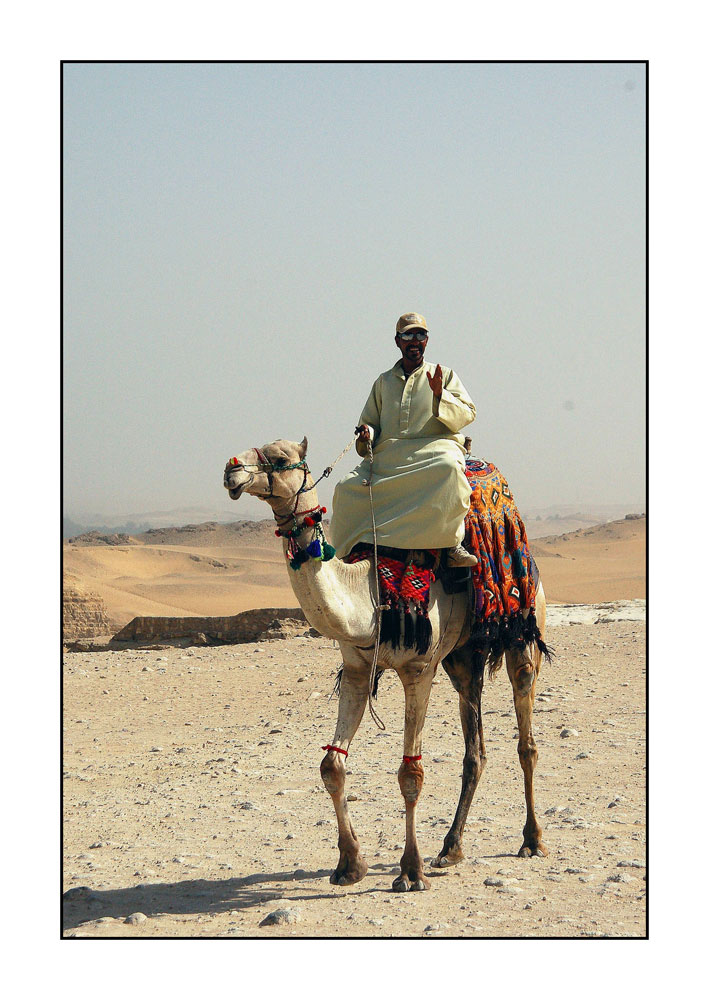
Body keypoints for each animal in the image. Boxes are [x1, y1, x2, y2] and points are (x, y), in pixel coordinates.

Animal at [224, 436, 549, 892]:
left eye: (281, 458)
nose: (231, 471)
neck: (372, 592)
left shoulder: (419, 670)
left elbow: (410, 774)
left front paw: (409, 871)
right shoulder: (358, 668)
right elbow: (331, 765)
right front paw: (349, 864)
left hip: (523, 630)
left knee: (526, 738)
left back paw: (532, 841)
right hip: (463, 658)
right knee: (475, 751)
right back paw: (450, 848)